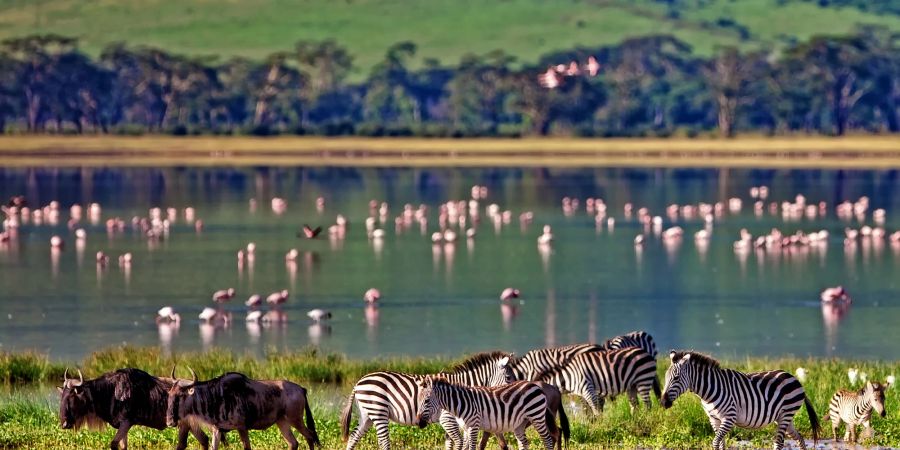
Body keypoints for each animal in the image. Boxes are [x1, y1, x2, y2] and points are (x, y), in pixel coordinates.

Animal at [342, 352, 512, 450]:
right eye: (509, 377)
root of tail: (358, 382)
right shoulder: (447, 418)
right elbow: (459, 443)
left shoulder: (453, 421)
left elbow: (451, 444)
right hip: (378, 411)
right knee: (383, 443)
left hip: (367, 414)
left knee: (353, 438)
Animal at [418, 376, 560, 450]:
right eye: (418, 400)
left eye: (426, 401)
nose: (419, 423)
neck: (460, 404)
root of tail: (536, 386)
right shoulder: (465, 428)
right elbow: (465, 448)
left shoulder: (473, 425)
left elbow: (472, 447)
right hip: (520, 423)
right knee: (524, 443)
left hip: (537, 416)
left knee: (548, 440)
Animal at [520, 346, 660, 416]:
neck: (569, 376)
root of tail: (646, 353)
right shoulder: (581, 394)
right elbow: (587, 410)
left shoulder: (588, 389)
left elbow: (595, 409)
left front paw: (600, 426)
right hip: (632, 385)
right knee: (634, 405)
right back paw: (634, 420)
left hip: (643, 380)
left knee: (648, 404)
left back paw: (646, 418)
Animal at [656, 352, 820, 450]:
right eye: (665, 377)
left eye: (676, 378)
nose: (663, 402)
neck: (709, 391)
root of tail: (794, 378)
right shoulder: (714, 419)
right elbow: (721, 443)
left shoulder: (729, 417)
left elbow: (716, 442)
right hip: (783, 418)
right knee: (799, 438)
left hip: (786, 414)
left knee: (778, 442)